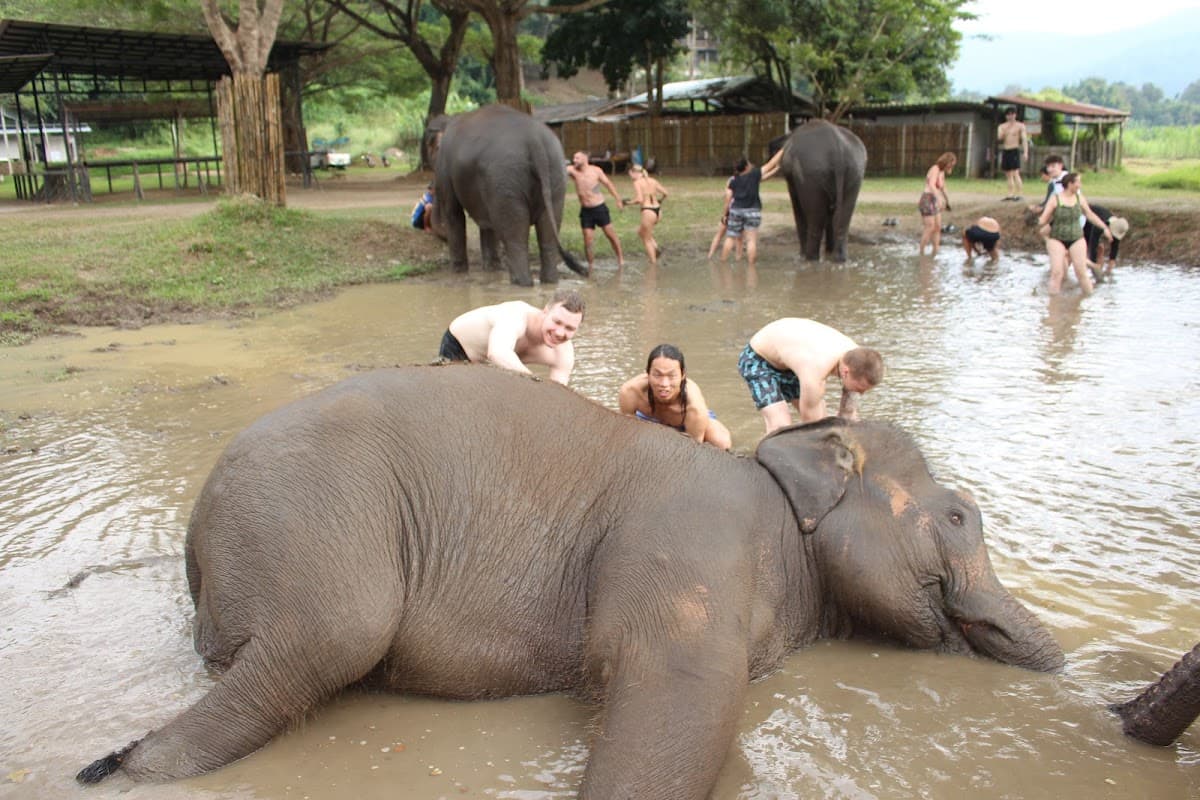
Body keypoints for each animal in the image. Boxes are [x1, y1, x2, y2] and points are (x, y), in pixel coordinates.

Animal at [77, 365, 1063, 798]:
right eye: (961, 516)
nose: (1065, 668)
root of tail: (193, 537)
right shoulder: (689, 539)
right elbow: (679, 692)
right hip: (308, 519)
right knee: (328, 639)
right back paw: (121, 768)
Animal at [433, 104, 586, 286]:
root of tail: (535, 142)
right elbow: (487, 223)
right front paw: (492, 269)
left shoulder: (445, 167)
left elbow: (453, 213)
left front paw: (458, 273)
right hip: (554, 175)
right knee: (548, 234)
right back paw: (549, 282)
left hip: (506, 178)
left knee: (514, 238)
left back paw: (521, 284)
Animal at [778, 119, 868, 262]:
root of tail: (838, 148)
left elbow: (798, 207)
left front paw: (801, 255)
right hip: (855, 171)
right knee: (842, 219)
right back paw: (839, 259)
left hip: (811, 174)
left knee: (815, 218)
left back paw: (809, 259)